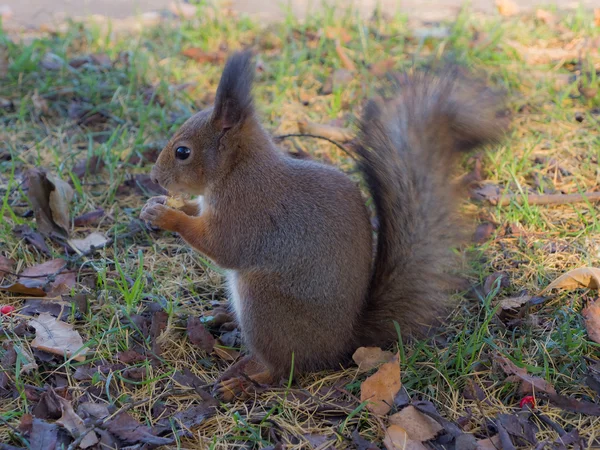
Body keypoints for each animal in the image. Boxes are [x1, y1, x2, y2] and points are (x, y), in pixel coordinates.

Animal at [139, 50, 506, 394]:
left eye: (183, 152)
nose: (155, 179)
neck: (236, 170)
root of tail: (342, 343)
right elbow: (195, 211)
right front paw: (156, 206)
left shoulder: (246, 212)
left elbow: (221, 246)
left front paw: (167, 216)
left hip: (265, 305)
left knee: (282, 369)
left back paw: (244, 381)